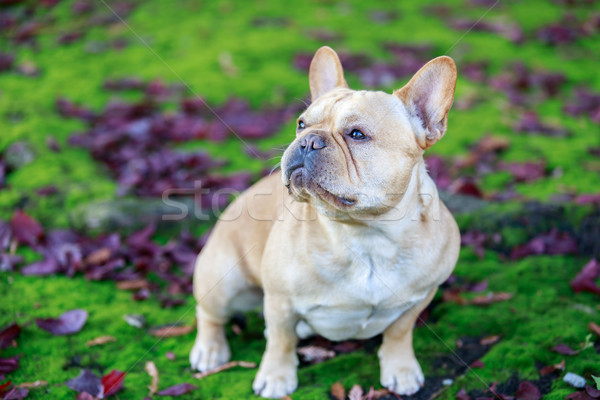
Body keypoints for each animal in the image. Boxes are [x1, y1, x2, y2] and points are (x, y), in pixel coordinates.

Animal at [191, 46, 460, 396]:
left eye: (357, 134)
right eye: (301, 124)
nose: (308, 140)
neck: (365, 235)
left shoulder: (418, 299)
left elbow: (399, 333)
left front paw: (400, 367)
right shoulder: (279, 302)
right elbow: (280, 341)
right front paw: (276, 377)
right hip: (225, 280)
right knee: (211, 313)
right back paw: (209, 350)